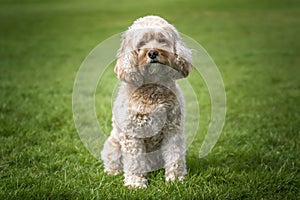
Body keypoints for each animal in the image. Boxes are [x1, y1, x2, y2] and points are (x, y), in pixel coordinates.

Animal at [101, 15, 192, 188]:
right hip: (113, 146)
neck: (152, 86)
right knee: (112, 161)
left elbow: (175, 156)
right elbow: (134, 161)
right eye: (142, 43)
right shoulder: (132, 134)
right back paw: (113, 172)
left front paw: (175, 179)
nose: (153, 52)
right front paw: (136, 183)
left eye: (162, 40)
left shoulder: (172, 129)